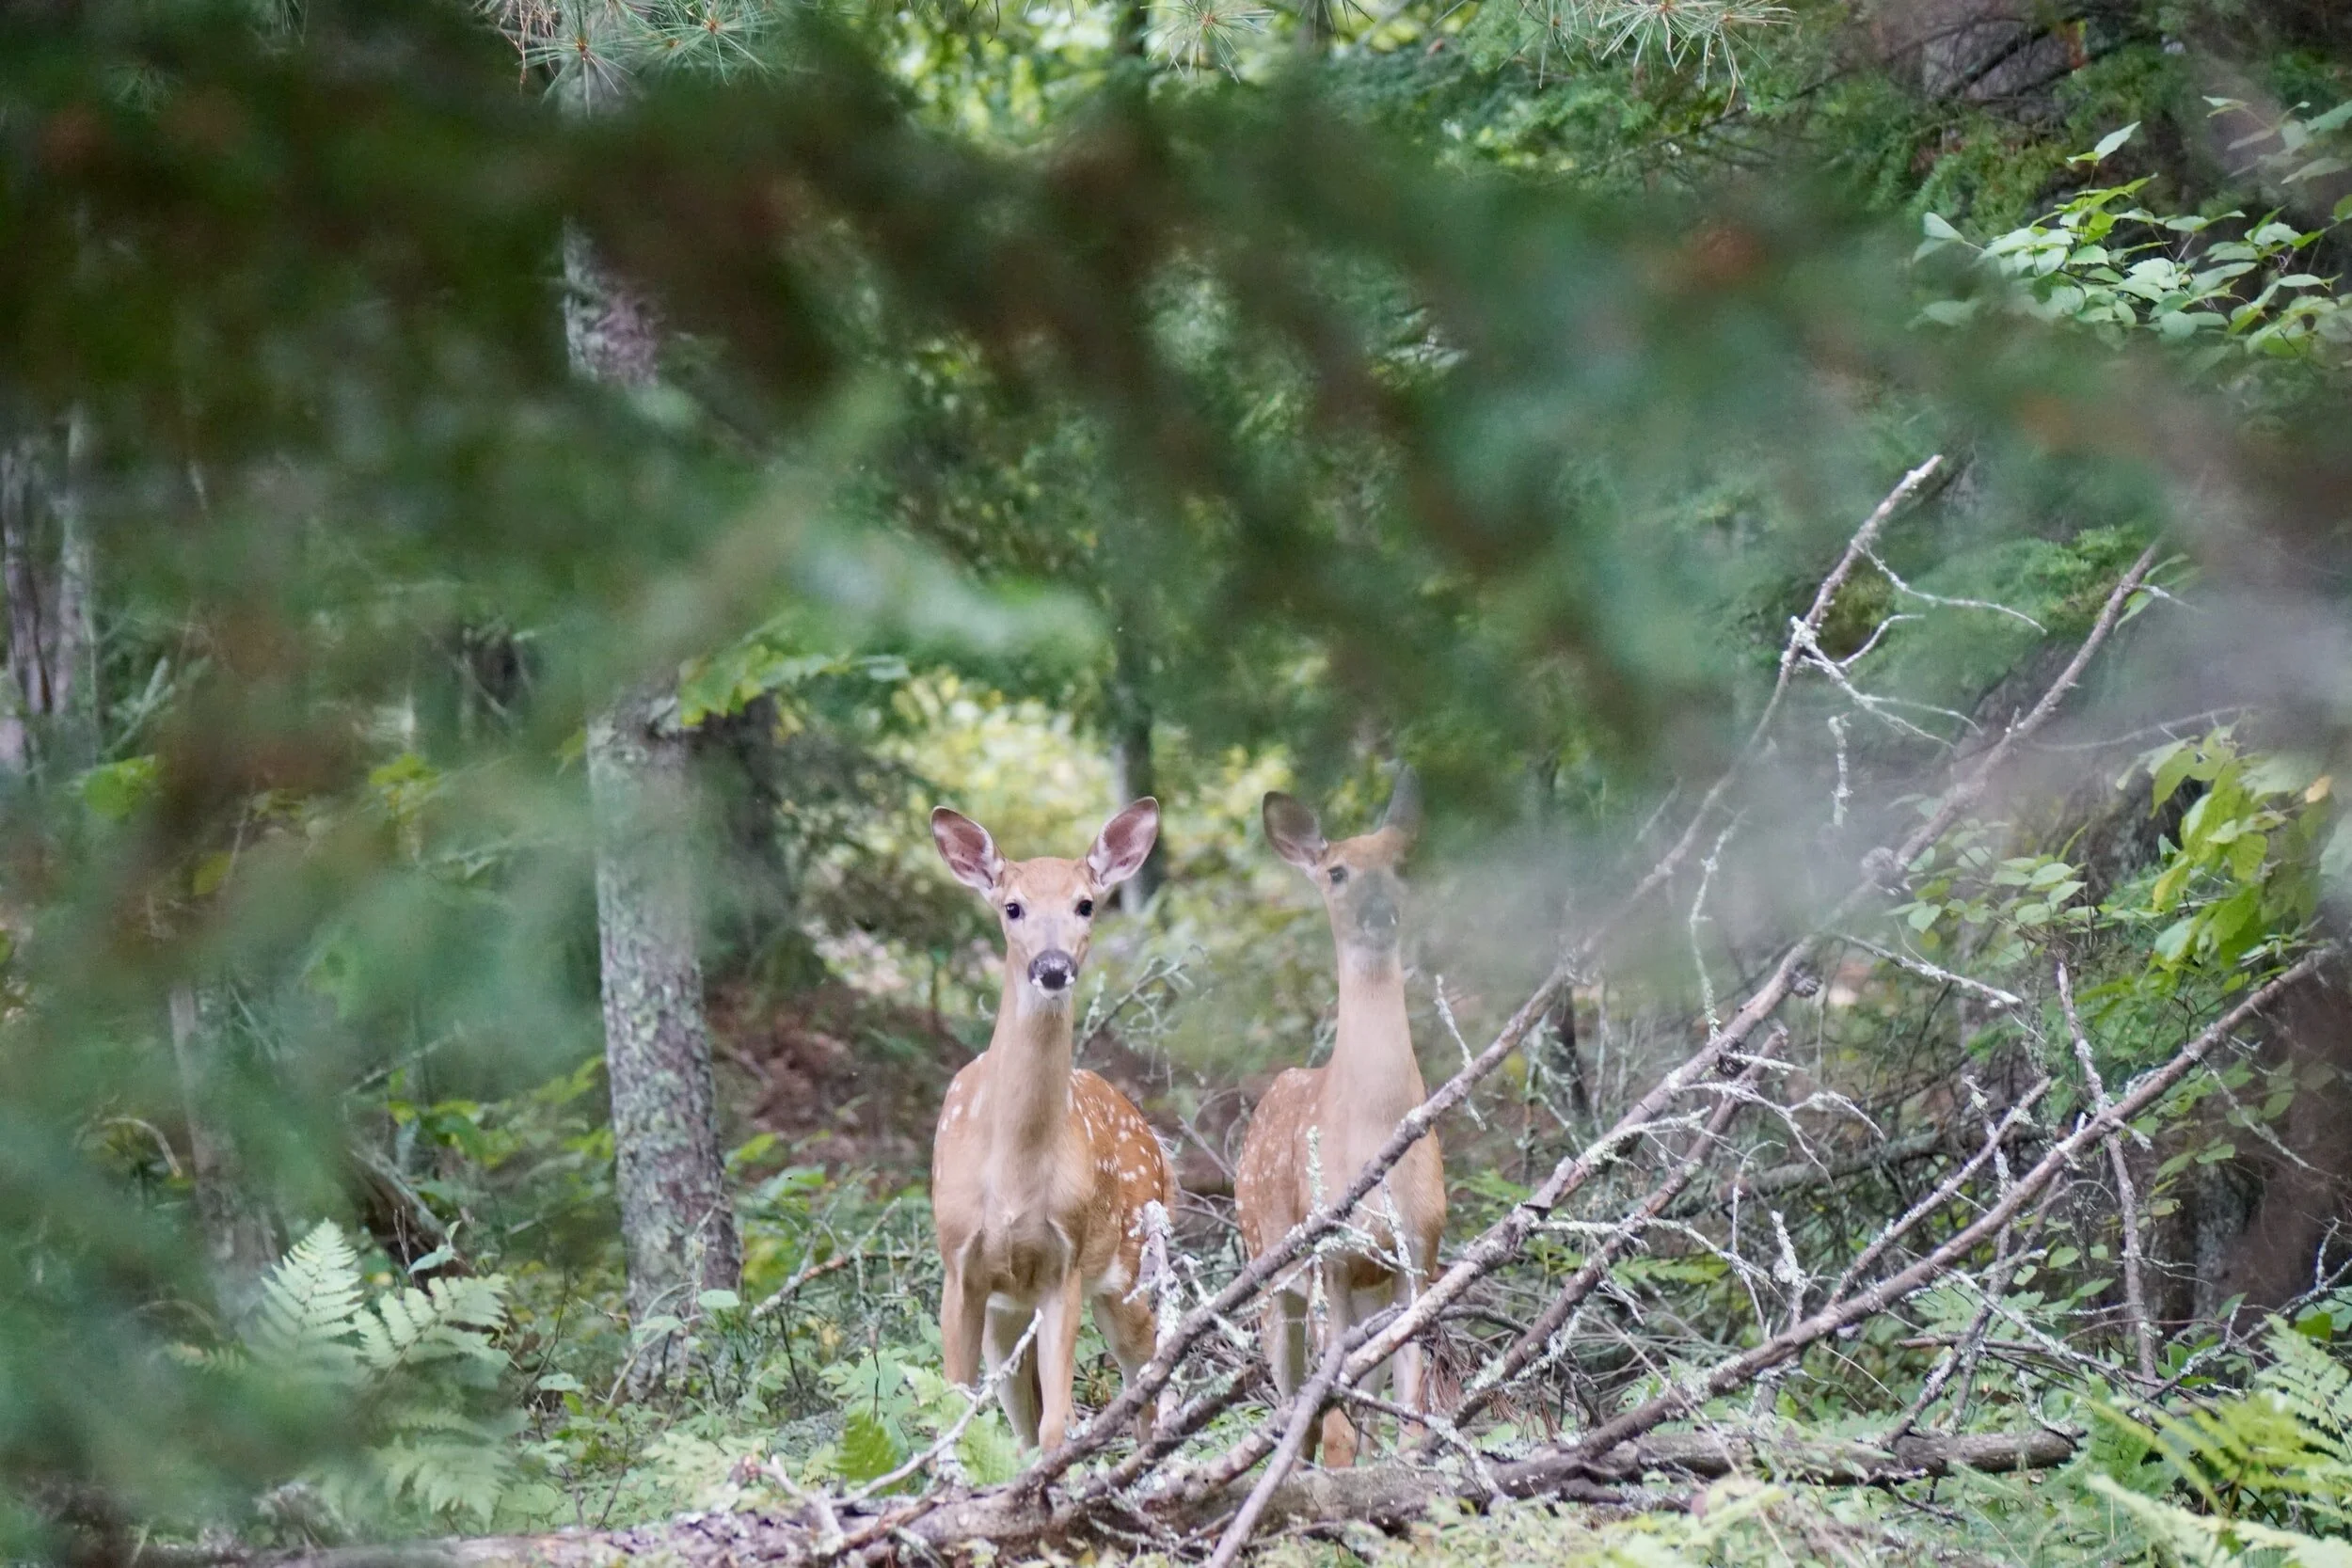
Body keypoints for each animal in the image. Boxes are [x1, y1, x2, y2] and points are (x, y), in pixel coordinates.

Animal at [928, 798, 1175, 1454]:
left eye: (1085, 904)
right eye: (1011, 907)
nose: (1053, 967)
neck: (1013, 1175)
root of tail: (1157, 1142)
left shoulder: (1065, 1264)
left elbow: (1059, 1421)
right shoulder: (959, 1265)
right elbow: (953, 1409)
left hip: (1129, 1264)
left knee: (1147, 1377)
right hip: (1007, 1311)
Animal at [1233, 767, 1444, 1467]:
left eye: (1402, 863)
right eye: (1337, 871)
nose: (1381, 909)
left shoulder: (1420, 1254)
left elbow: (1412, 1409)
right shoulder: (1330, 1260)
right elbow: (1333, 1425)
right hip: (1267, 1261)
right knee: (1290, 1395)